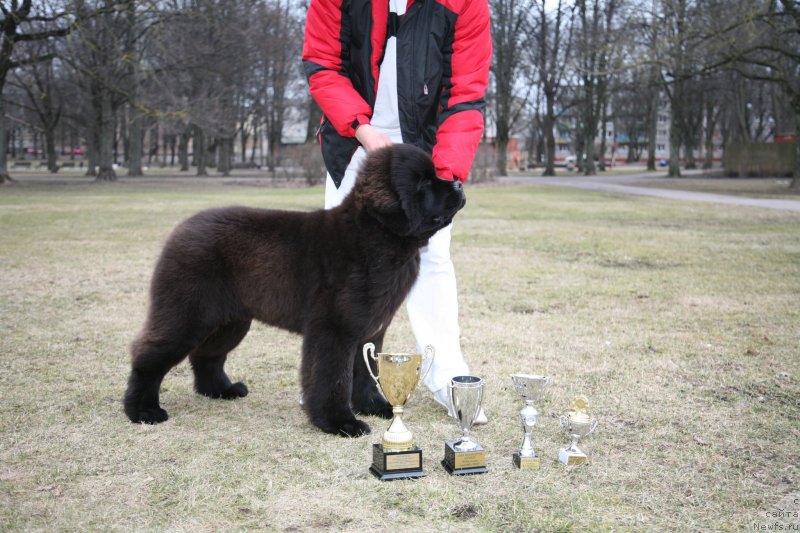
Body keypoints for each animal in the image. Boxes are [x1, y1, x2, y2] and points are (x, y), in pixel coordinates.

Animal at [125, 143, 468, 434]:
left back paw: (222, 390)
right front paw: (339, 422)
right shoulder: (333, 330)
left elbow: (363, 372)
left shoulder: (369, 330)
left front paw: (374, 407)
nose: (459, 185)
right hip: (186, 313)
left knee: (207, 355)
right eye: (423, 184)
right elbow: (333, 378)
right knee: (149, 355)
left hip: (230, 320)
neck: (377, 236)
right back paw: (142, 410)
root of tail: (181, 229)